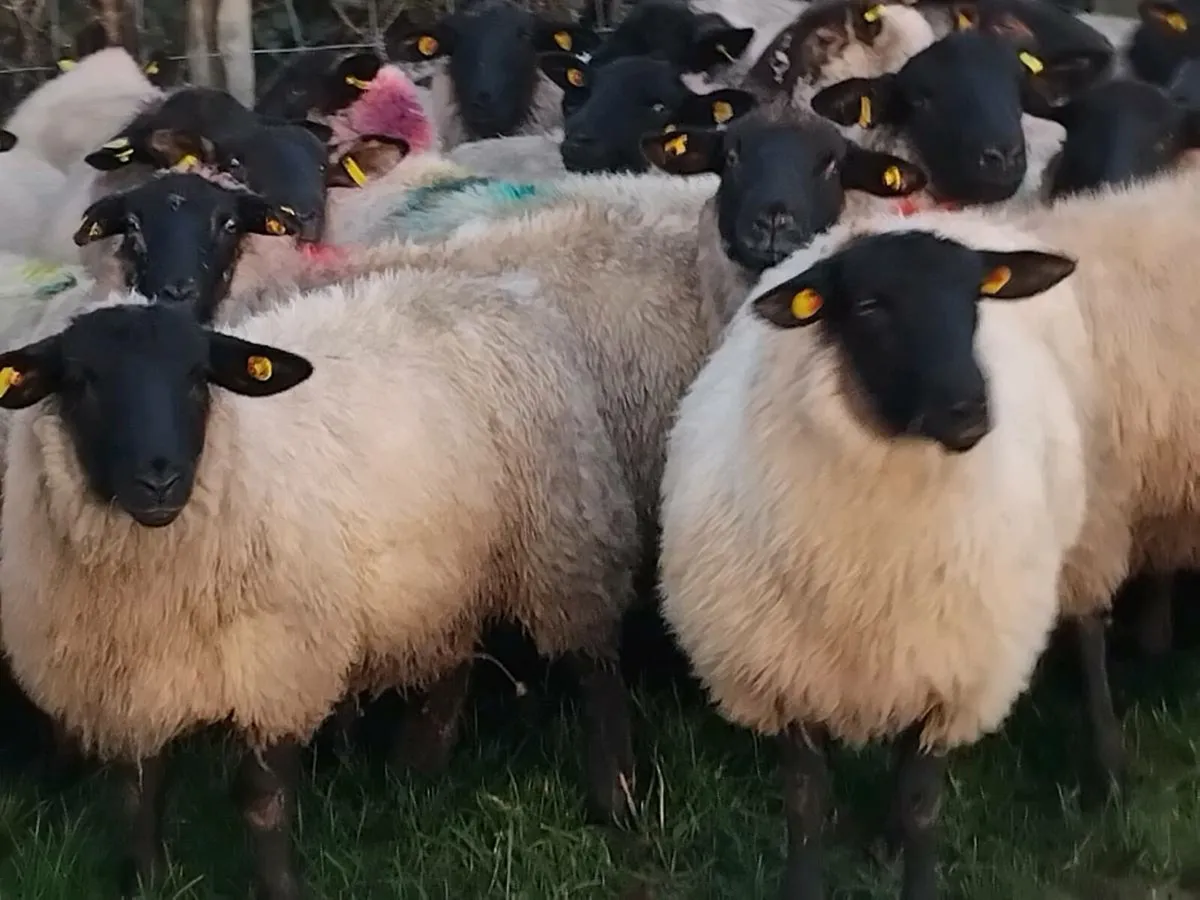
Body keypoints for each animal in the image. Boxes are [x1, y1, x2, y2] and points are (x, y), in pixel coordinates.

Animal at [0, 275, 638, 898]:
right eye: (82, 381)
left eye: (197, 377)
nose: (160, 480)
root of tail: (511, 289)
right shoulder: (126, 685)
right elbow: (137, 793)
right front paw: (147, 882)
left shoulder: (280, 665)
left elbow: (261, 800)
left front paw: (280, 887)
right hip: (442, 572)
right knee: (453, 657)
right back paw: (418, 770)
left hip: (563, 544)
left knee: (596, 669)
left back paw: (614, 796)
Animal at [658, 214, 1089, 899]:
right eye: (868, 306)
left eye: (975, 299)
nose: (970, 410)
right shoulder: (783, 677)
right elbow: (804, 806)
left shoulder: (949, 682)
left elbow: (921, 808)